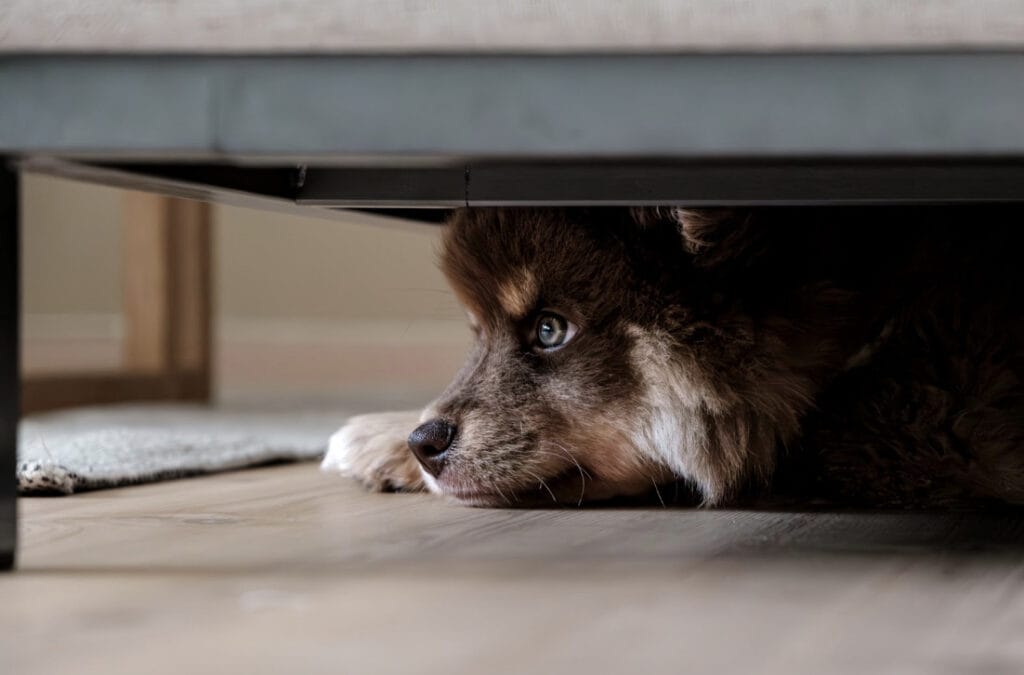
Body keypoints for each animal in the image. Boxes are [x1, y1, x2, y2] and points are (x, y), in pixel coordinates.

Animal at [319, 205, 1024, 508]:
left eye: (550, 330)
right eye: (477, 333)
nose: (425, 443)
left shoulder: (944, 417)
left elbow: (799, 440)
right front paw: (386, 438)